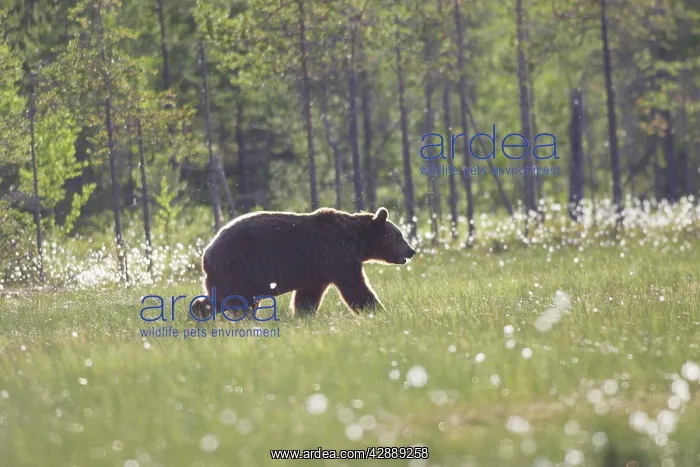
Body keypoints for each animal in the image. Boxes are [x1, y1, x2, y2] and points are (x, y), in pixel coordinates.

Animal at [191, 207, 415, 319]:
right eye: (398, 235)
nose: (411, 251)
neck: (356, 241)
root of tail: (206, 254)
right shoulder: (336, 257)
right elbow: (355, 287)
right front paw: (378, 310)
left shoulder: (317, 270)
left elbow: (307, 296)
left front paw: (303, 315)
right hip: (238, 268)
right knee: (235, 301)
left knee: (225, 300)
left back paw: (200, 310)